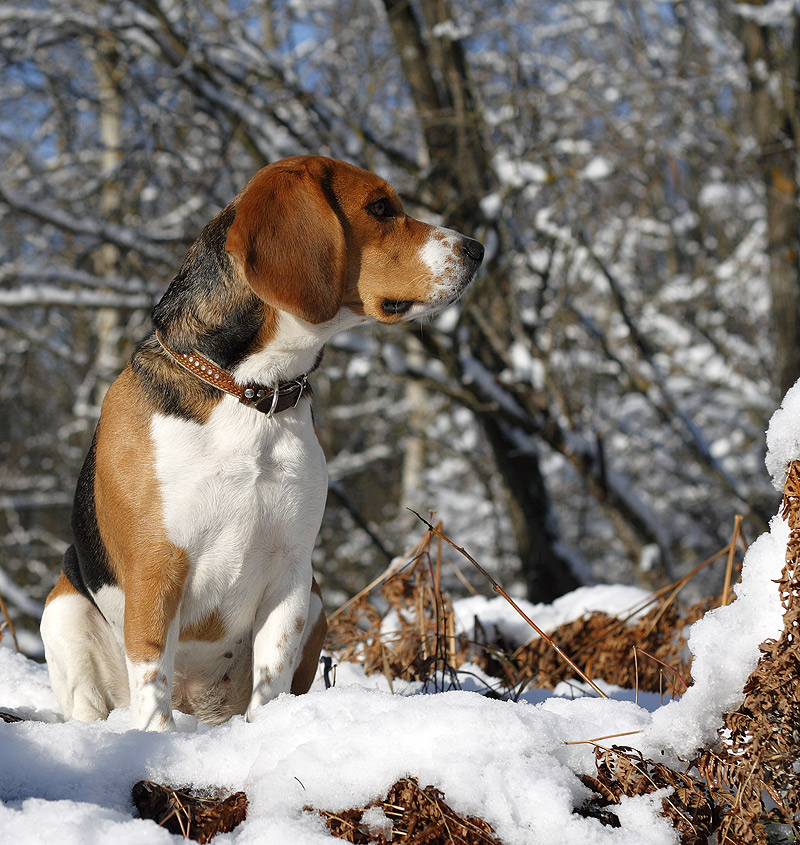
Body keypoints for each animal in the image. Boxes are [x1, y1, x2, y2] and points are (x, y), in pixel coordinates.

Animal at [40, 155, 484, 728]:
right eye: (380, 208)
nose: (478, 248)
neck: (253, 393)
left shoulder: (291, 570)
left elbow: (271, 675)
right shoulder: (156, 568)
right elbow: (151, 679)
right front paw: (155, 739)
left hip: (316, 601)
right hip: (63, 609)